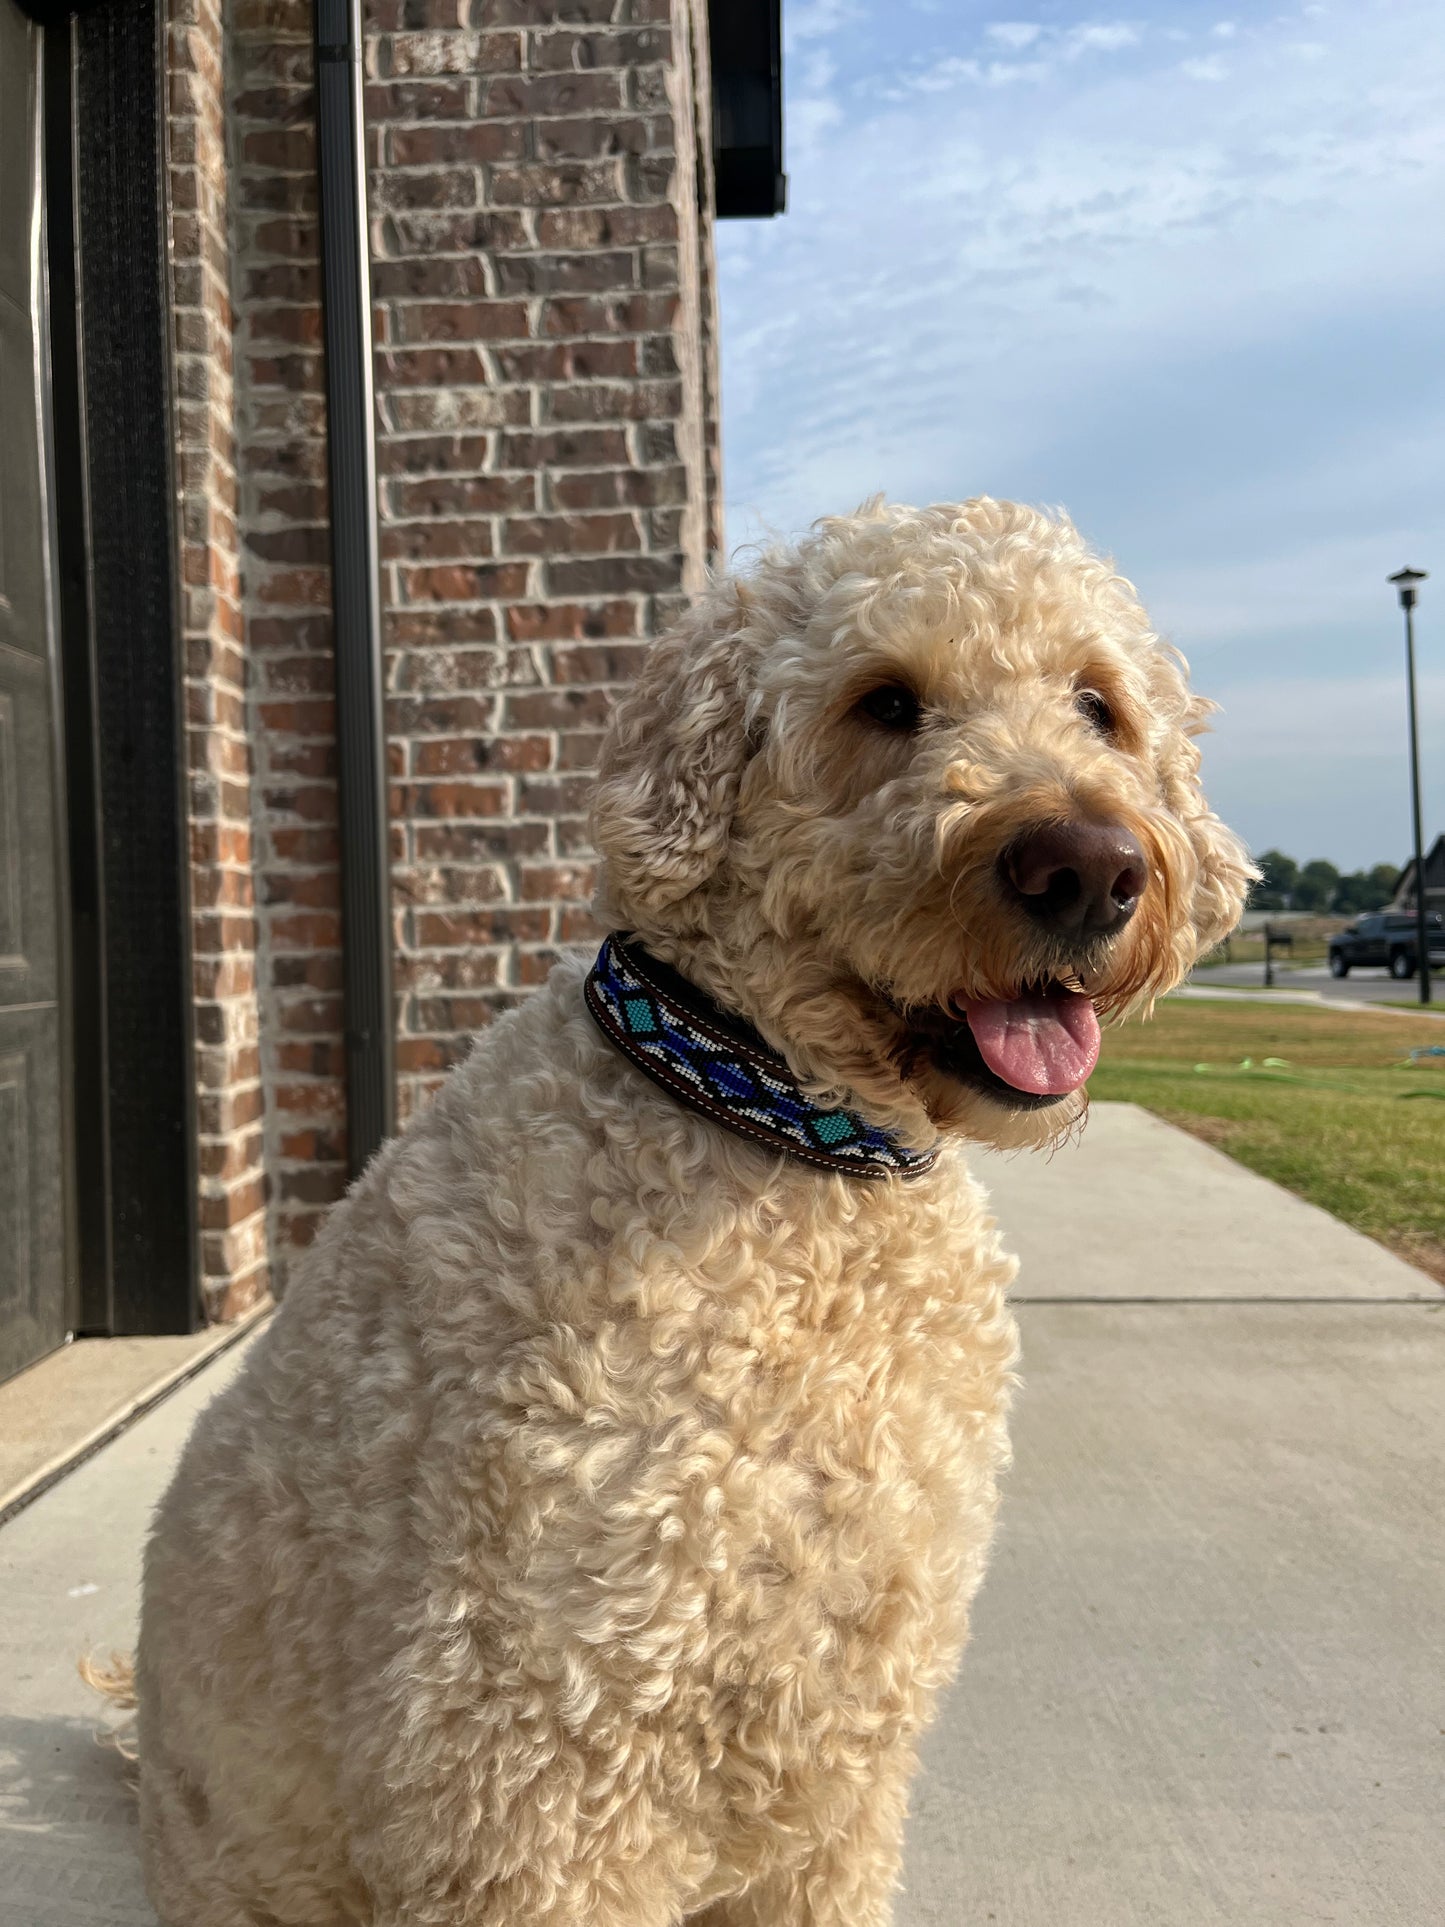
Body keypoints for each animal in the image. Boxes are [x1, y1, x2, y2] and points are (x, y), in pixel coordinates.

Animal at [130, 501, 1248, 1927]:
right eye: (886, 702)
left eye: (1096, 704)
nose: (1089, 866)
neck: (781, 1140)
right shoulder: (532, 1742)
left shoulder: (845, 1722)